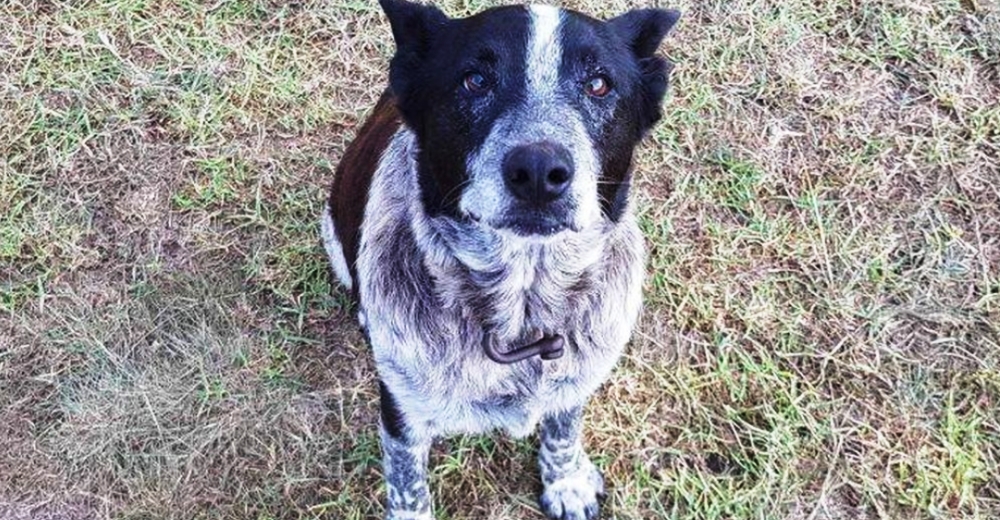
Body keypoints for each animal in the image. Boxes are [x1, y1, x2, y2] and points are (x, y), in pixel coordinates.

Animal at [320, 2, 680, 516]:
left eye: (598, 84)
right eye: (474, 80)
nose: (539, 171)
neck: (521, 311)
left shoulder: (576, 378)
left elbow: (563, 429)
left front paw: (566, 482)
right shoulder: (403, 411)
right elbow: (407, 483)